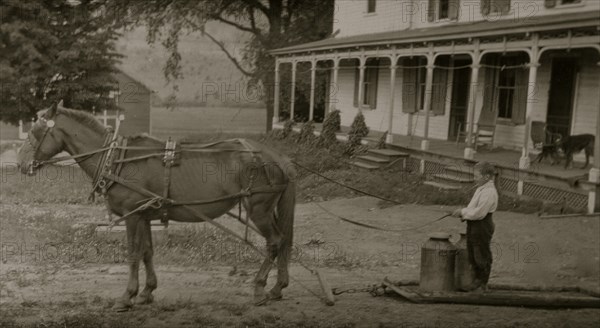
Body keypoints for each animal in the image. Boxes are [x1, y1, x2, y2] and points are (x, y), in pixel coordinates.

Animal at [18, 104, 298, 312]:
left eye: (36, 131)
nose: (21, 164)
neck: (115, 159)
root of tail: (276, 157)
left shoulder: (131, 216)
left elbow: (133, 254)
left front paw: (127, 296)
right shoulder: (143, 215)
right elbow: (147, 252)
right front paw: (147, 292)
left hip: (259, 209)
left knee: (275, 241)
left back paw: (260, 287)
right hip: (267, 210)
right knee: (283, 240)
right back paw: (277, 288)